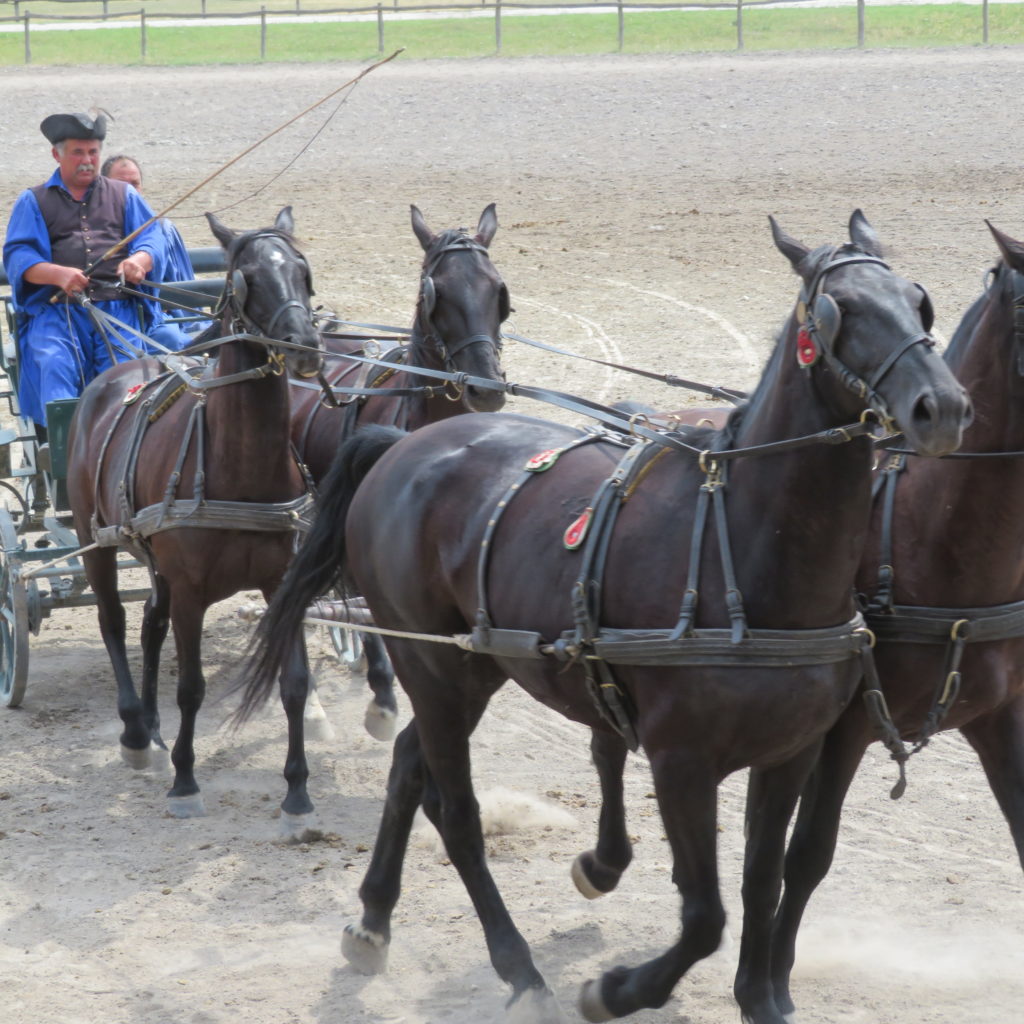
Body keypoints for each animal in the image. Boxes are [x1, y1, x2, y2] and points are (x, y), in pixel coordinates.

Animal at [66, 205, 321, 823]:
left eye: (302, 271)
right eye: (246, 279)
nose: (305, 344)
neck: (242, 468)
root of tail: (119, 368)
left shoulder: (283, 582)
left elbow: (294, 683)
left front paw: (297, 791)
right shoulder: (190, 591)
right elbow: (192, 688)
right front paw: (185, 780)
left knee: (149, 622)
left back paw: (152, 726)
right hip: (95, 538)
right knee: (114, 621)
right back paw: (136, 730)